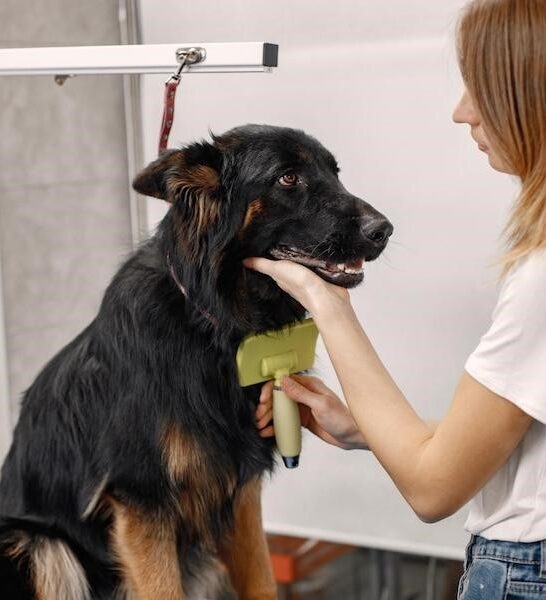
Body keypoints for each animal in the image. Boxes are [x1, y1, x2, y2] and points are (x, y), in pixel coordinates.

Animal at [0, 124, 392, 596]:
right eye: (288, 178)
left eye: (334, 173)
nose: (385, 230)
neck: (211, 323)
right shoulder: (142, 500)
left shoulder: (240, 490)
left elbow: (261, 579)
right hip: (38, 544)